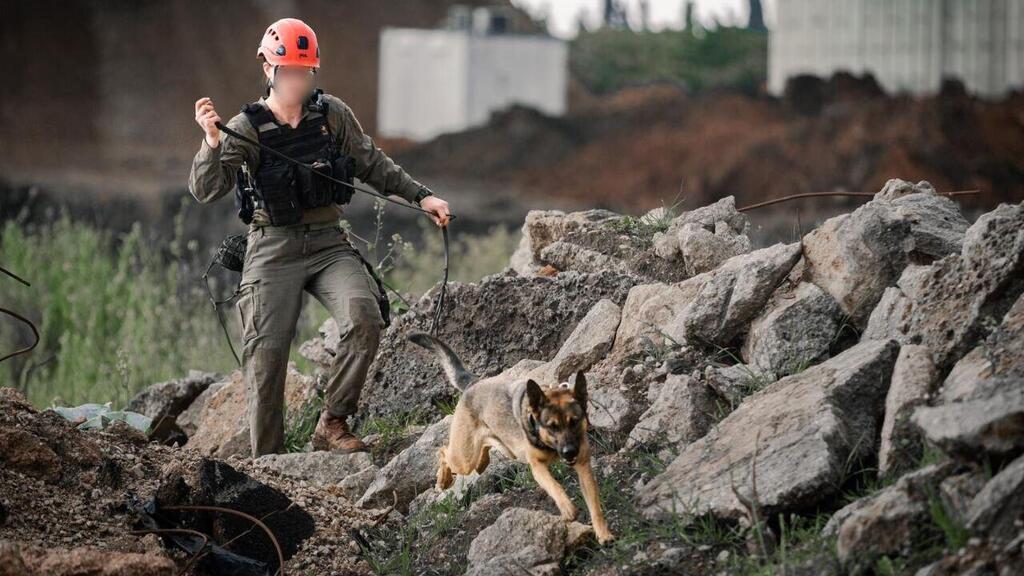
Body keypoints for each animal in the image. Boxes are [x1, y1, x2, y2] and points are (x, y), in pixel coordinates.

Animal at [407, 330, 614, 541]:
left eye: (574, 421)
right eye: (552, 426)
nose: (570, 452)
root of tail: (474, 383)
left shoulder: (583, 466)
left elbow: (595, 505)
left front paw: (603, 533)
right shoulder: (537, 467)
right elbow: (555, 486)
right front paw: (567, 508)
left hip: (496, 450)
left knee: (481, 451)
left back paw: (481, 462)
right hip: (463, 459)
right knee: (443, 452)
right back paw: (444, 479)